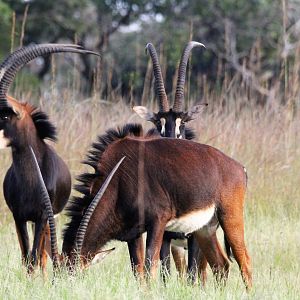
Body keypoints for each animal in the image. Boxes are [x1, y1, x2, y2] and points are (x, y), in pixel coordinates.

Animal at [0, 42, 99, 274]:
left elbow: (36, 256)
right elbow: (26, 256)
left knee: (43, 255)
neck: (29, 177)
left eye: (5, 115)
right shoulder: (19, 216)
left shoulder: (42, 216)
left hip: (48, 219)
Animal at [34, 123, 252, 290]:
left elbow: (149, 268)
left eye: (73, 273)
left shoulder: (157, 222)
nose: (60, 290)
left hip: (230, 218)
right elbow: (137, 271)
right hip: (204, 229)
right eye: (56, 273)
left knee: (245, 263)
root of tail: (238, 167)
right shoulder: (133, 233)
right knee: (221, 265)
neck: (119, 179)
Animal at [134, 41, 209, 282]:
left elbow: (193, 274)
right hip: (178, 245)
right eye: (159, 123)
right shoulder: (165, 237)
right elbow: (166, 274)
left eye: (182, 123)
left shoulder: (194, 238)